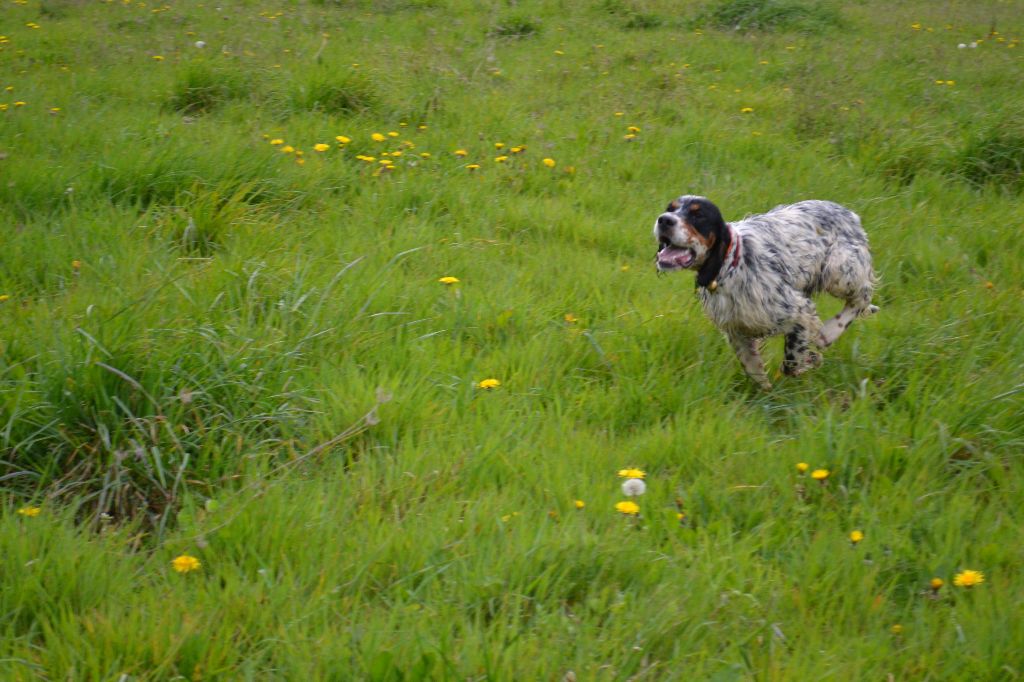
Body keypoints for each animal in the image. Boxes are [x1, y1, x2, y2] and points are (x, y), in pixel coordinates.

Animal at [655, 195, 880, 387]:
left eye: (698, 215)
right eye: (670, 209)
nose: (664, 220)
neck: (732, 266)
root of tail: (850, 214)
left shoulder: (799, 311)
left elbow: (791, 362)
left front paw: (811, 359)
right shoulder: (736, 330)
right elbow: (753, 369)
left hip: (839, 270)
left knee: (862, 297)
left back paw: (829, 332)